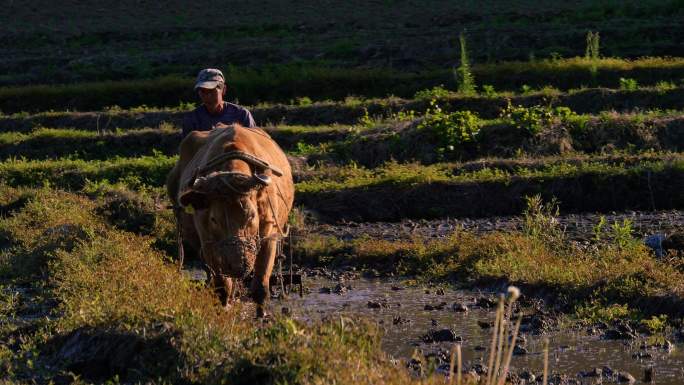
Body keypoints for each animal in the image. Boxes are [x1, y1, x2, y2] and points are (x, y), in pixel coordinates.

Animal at [168, 123, 294, 316]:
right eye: (214, 219)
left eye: (251, 215)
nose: (237, 265)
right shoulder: (209, 243)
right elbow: (222, 285)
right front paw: (224, 306)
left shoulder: (269, 237)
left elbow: (261, 283)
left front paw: (261, 313)